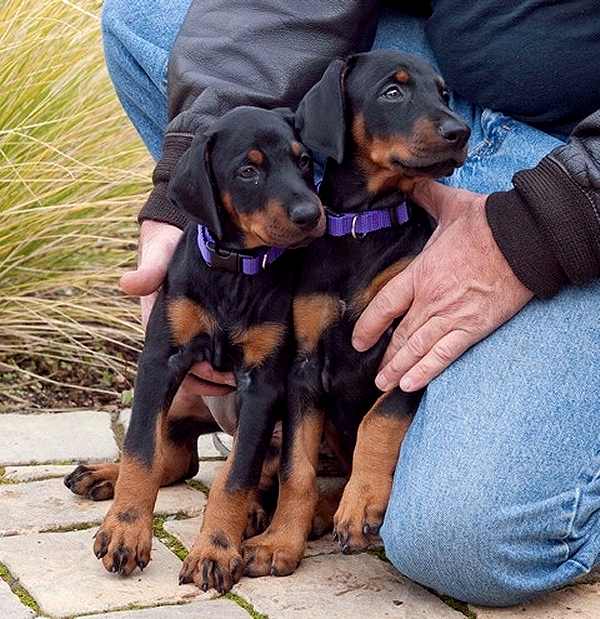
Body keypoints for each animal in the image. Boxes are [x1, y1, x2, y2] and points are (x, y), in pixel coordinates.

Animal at [66, 105, 326, 592]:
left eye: (303, 161)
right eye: (248, 171)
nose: (311, 214)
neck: (235, 271)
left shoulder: (261, 385)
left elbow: (236, 477)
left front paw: (216, 549)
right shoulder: (160, 360)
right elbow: (141, 452)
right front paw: (125, 529)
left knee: (241, 465)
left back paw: (254, 513)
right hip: (187, 399)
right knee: (174, 457)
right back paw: (102, 475)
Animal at [241, 50, 472, 580]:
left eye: (443, 93)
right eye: (393, 91)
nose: (461, 131)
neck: (362, 229)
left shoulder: (407, 344)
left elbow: (378, 419)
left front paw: (362, 503)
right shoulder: (304, 367)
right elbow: (297, 468)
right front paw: (280, 541)